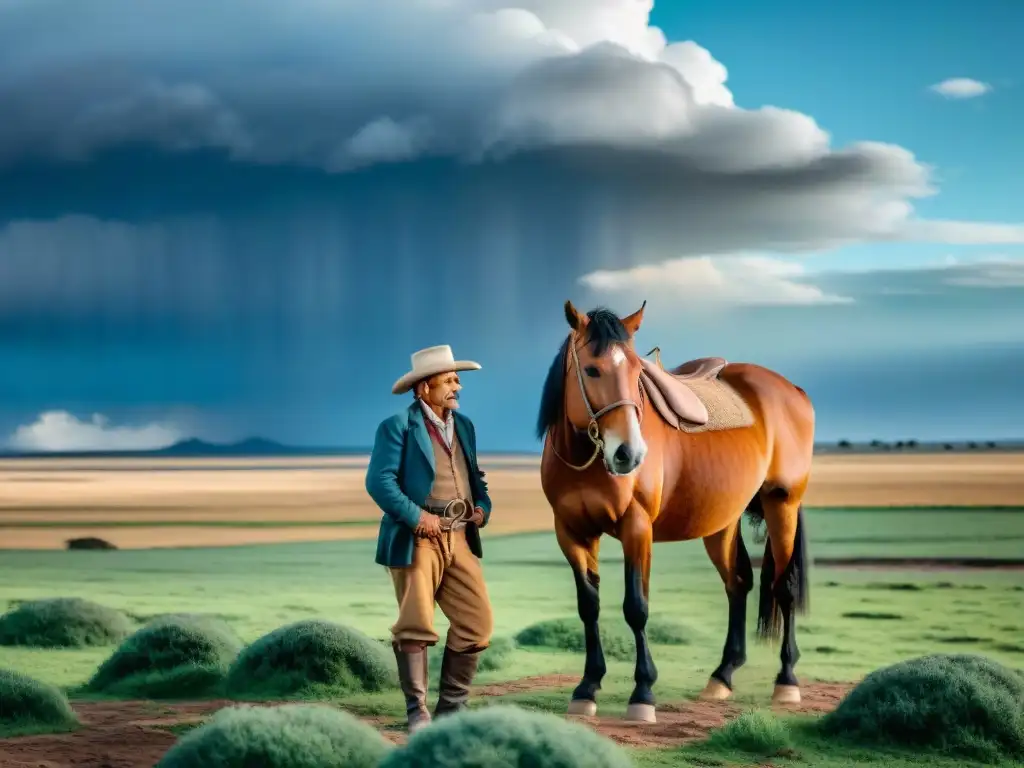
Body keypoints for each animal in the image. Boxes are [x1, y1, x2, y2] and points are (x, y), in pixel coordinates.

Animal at [536, 299, 815, 720]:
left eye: (637, 372)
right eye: (591, 369)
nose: (629, 453)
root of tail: (793, 391)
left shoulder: (637, 528)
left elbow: (636, 607)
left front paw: (642, 693)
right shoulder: (571, 532)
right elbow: (589, 607)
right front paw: (587, 687)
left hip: (781, 504)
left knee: (784, 587)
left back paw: (787, 682)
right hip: (721, 522)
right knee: (738, 583)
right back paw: (722, 676)